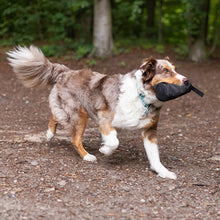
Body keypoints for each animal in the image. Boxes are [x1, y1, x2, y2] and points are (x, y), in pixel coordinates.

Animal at [7, 45, 189, 180]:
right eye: (165, 71)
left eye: (174, 69)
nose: (187, 81)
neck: (142, 96)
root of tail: (65, 71)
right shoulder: (105, 119)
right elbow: (114, 141)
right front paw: (105, 150)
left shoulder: (149, 130)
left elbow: (154, 155)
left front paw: (163, 172)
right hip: (79, 114)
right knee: (74, 138)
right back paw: (86, 155)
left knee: (55, 115)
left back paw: (50, 133)